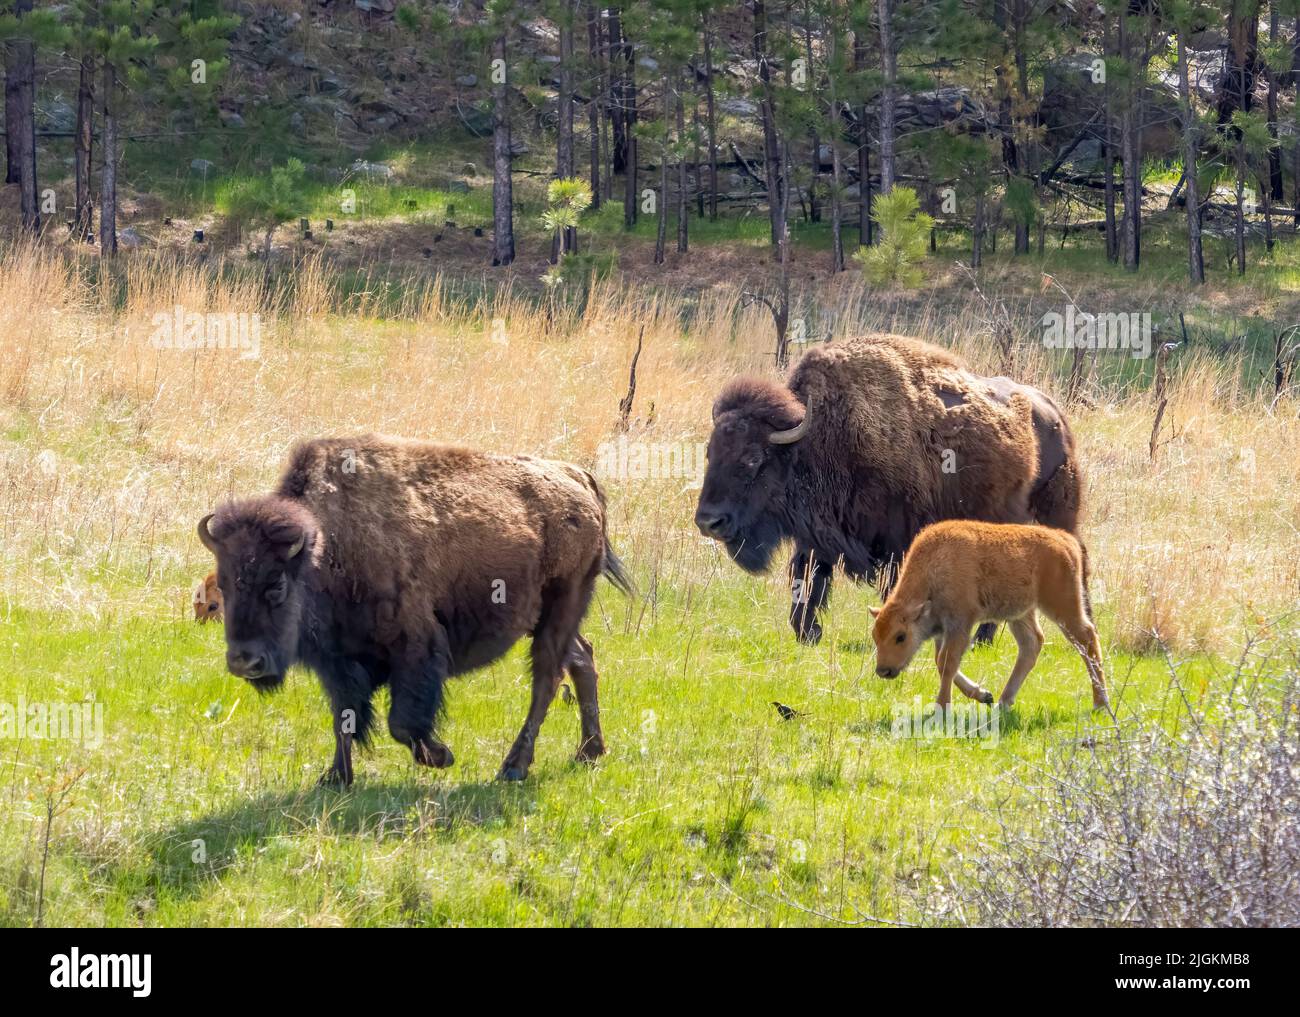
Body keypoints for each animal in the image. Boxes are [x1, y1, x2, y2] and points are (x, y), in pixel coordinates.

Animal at [197, 434, 634, 786]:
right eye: (223, 586)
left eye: (276, 584)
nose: (244, 662)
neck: (325, 548)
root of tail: (578, 478)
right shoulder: (337, 664)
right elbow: (344, 717)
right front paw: (335, 778)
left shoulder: (415, 645)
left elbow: (402, 722)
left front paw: (440, 756)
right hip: (544, 617)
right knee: (582, 658)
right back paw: (589, 752)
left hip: (564, 604)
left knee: (546, 678)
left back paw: (514, 767)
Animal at [694, 334, 1084, 645]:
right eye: (710, 452)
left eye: (752, 459)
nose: (709, 522)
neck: (814, 441)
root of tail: (1054, 414)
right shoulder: (816, 537)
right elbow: (807, 580)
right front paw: (808, 634)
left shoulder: (897, 541)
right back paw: (982, 640)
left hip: (1055, 513)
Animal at [870, 520, 1107, 710]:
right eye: (875, 636)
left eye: (900, 636)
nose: (883, 671)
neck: (935, 567)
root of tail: (1064, 539)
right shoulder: (942, 630)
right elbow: (941, 661)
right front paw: (983, 695)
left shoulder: (960, 624)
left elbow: (947, 662)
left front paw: (941, 707)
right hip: (1021, 614)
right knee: (1032, 644)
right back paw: (1003, 701)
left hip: (1062, 606)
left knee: (1087, 639)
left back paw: (1100, 703)